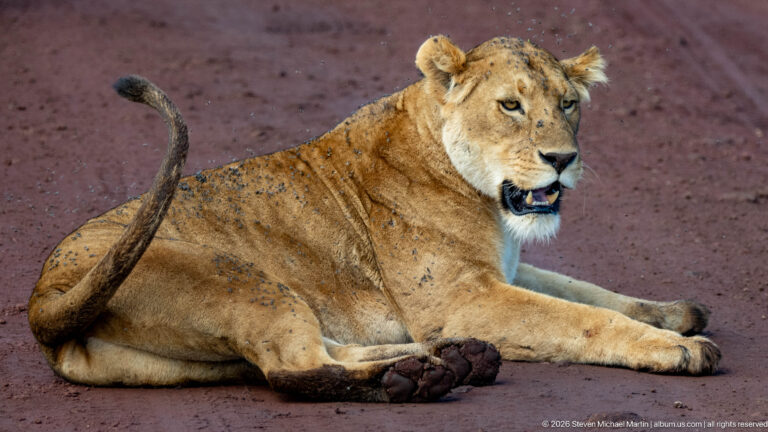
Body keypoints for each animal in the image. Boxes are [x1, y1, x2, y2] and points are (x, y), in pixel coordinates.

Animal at [28, 35, 720, 402]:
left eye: (569, 104)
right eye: (511, 106)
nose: (563, 160)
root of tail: (43, 296)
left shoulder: (495, 275)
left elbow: (587, 291)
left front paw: (673, 314)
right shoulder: (462, 297)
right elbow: (578, 318)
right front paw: (677, 348)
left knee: (317, 355)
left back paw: (451, 359)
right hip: (242, 281)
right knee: (292, 371)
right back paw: (419, 378)